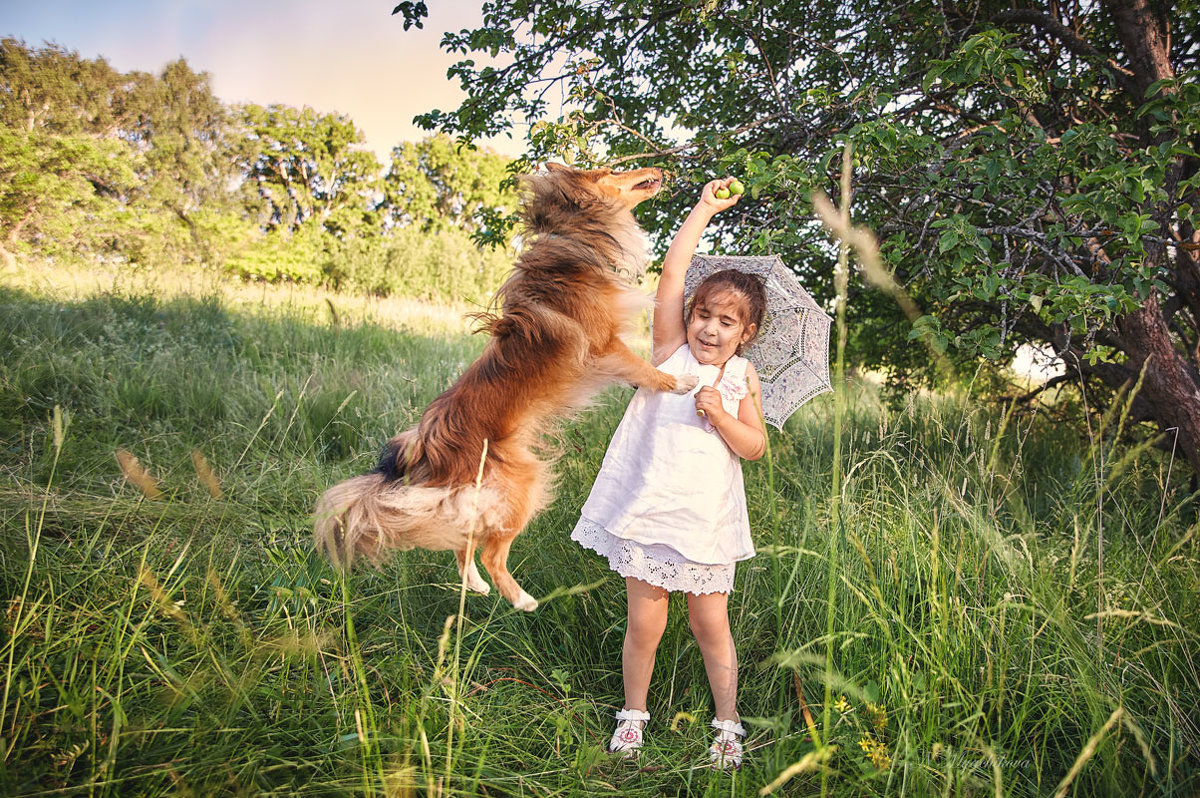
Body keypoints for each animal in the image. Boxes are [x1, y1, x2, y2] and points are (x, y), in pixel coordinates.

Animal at [314, 162, 700, 609]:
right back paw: (522, 600)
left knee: (463, 542)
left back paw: (477, 586)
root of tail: (427, 442)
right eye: (611, 170)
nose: (658, 167)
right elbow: (646, 369)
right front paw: (679, 381)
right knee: (488, 552)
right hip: (522, 486)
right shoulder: (606, 346)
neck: (576, 237)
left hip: (485, 496)